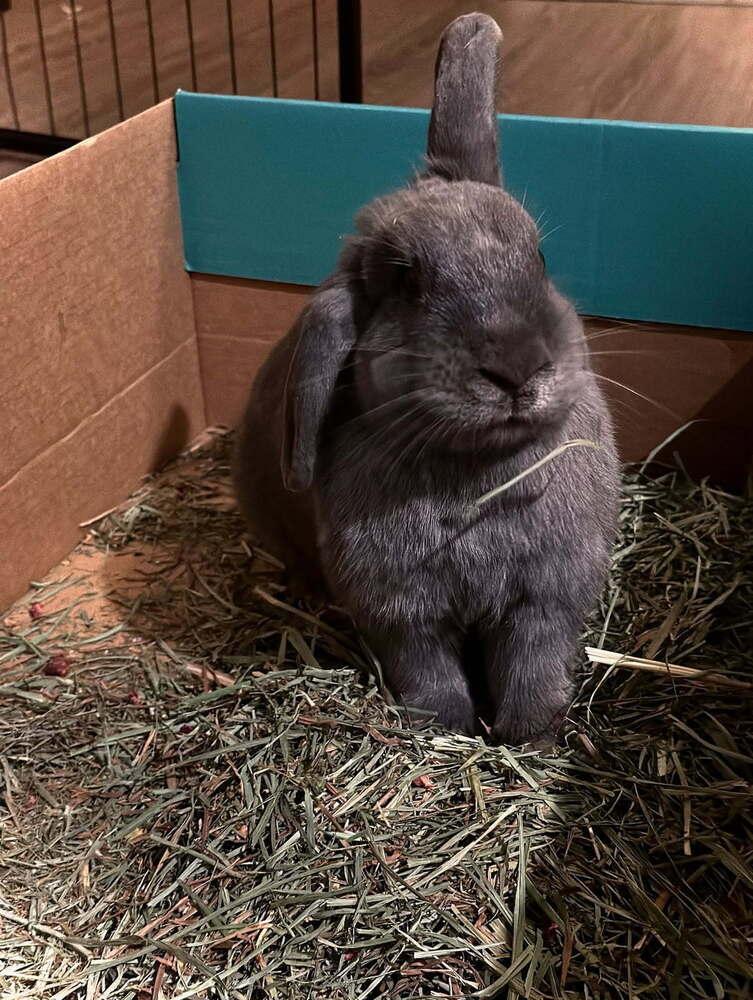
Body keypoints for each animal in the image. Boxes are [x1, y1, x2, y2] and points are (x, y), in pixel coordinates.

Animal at [234, 12, 620, 743]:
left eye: (538, 255)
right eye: (405, 279)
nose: (516, 369)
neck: (479, 468)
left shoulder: (544, 601)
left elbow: (533, 667)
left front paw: (529, 737)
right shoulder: (401, 614)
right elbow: (430, 678)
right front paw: (451, 732)